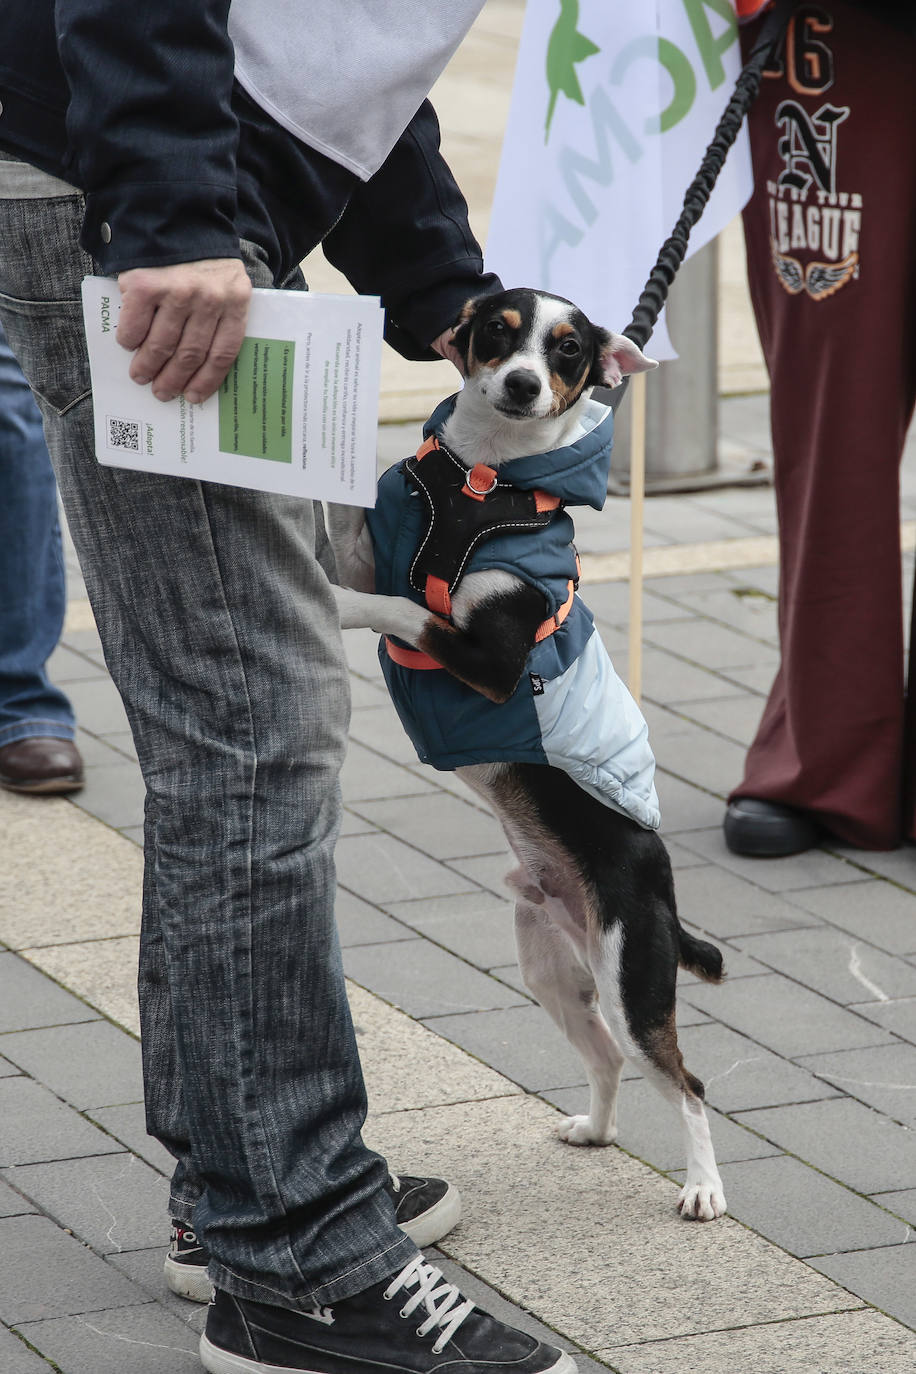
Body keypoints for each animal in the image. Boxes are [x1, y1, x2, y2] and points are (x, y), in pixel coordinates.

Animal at [330, 284, 730, 1220]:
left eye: (569, 350)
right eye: (497, 333)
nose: (520, 384)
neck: (484, 483)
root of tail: (661, 887)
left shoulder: (493, 658)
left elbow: (405, 613)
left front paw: (335, 604)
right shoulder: (376, 548)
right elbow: (353, 542)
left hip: (632, 982)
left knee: (686, 1083)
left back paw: (702, 1188)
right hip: (549, 966)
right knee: (608, 1056)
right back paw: (597, 1130)